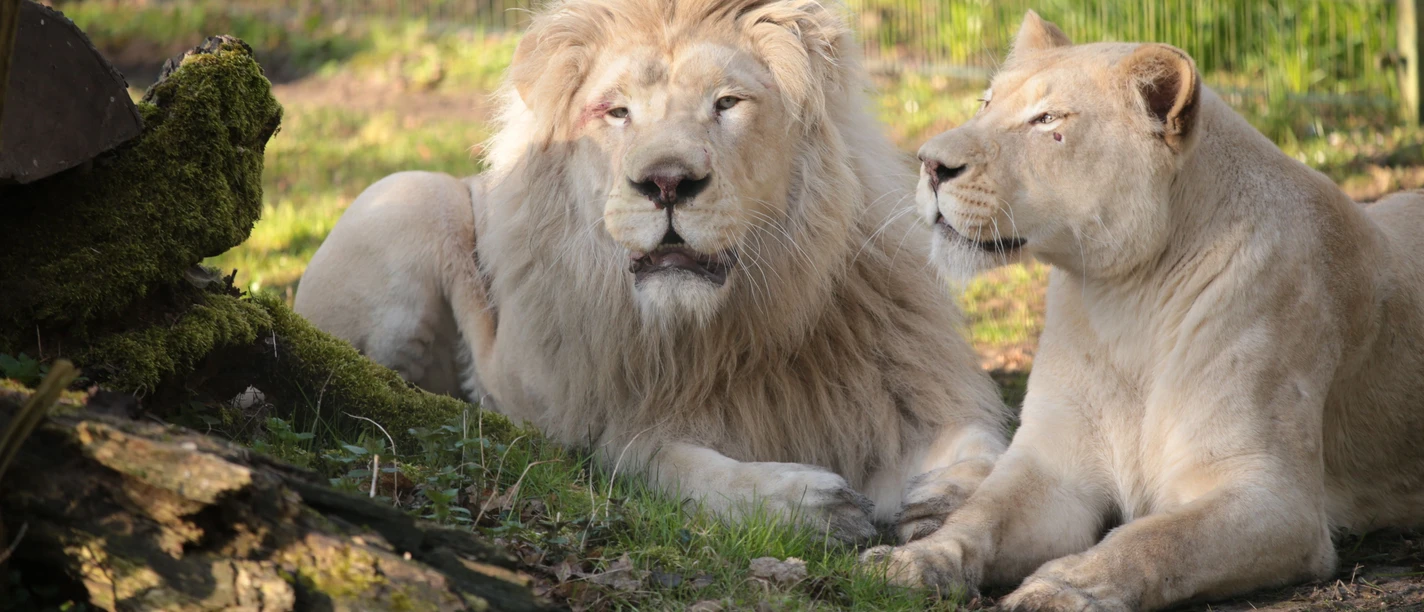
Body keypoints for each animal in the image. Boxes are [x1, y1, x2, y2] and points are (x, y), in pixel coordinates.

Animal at [293, 0, 1009, 543]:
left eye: (727, 103)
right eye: (617, 111)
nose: (666, 182)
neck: (727, 332)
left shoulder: (902, 395)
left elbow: (985, 448)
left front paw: (944, 502)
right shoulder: (606, 427)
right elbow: (672, 462)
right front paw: (808, 504)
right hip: (413, 193)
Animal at [862, 10, 1424, 611]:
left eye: (1047, 119)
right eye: (985, 103)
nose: (929, 164)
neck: (1126, 301)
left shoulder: (1275, 498)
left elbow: (1156, 541)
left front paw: (1061, 589)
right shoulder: (1054, 467)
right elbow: (981, 516)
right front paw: (912, 560)